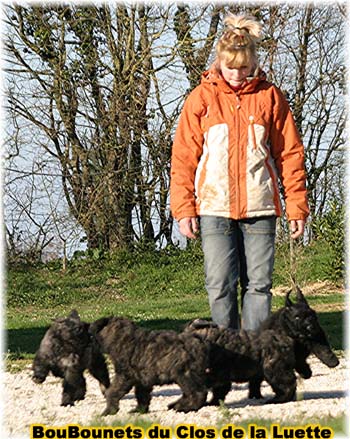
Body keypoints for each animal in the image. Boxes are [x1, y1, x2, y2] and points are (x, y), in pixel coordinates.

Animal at [186, 288, 340, 406]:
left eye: (312, 315)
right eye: (297, 317)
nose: (310, 326)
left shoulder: (316, 336)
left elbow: (322, 348)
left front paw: (332, 361)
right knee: (259, 381)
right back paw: (258, 395)